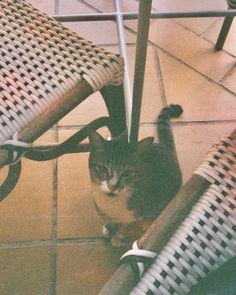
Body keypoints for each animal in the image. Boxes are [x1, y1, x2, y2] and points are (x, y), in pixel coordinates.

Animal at [88, 104, 183, 247]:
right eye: (102, 168)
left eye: (127, 173)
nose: (113, 186)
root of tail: (166, 148)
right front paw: (110, 228)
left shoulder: (147, 214)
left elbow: (129, 227)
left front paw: (118, 237)